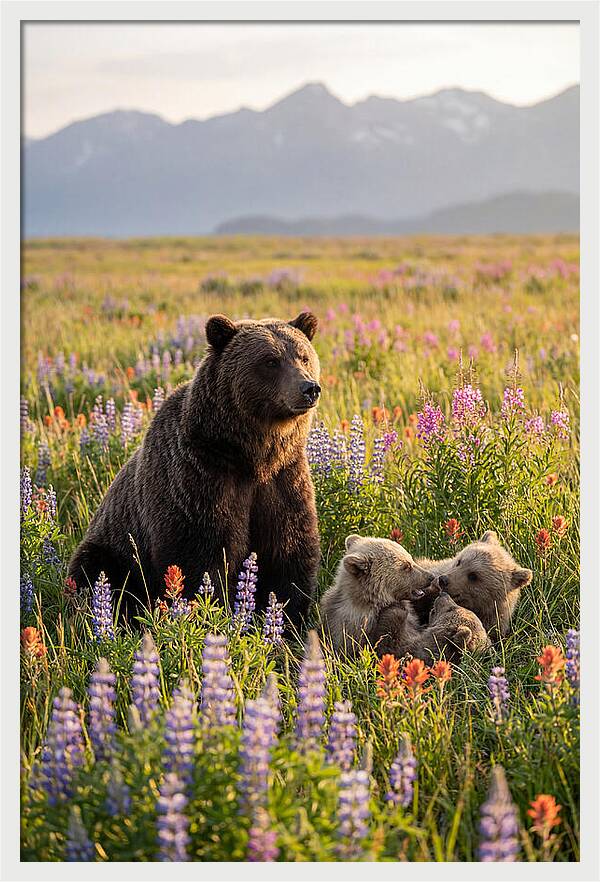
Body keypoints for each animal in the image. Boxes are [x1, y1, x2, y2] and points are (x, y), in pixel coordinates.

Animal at [68, 311, 322, 630]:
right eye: (270, 361)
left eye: (303, 356)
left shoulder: (284, 479)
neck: (251, 455)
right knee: (99, 575)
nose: (309, 388)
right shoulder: (199, 478)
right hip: (112, 548)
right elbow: (200, 556)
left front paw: (288, 624)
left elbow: (289, 552)